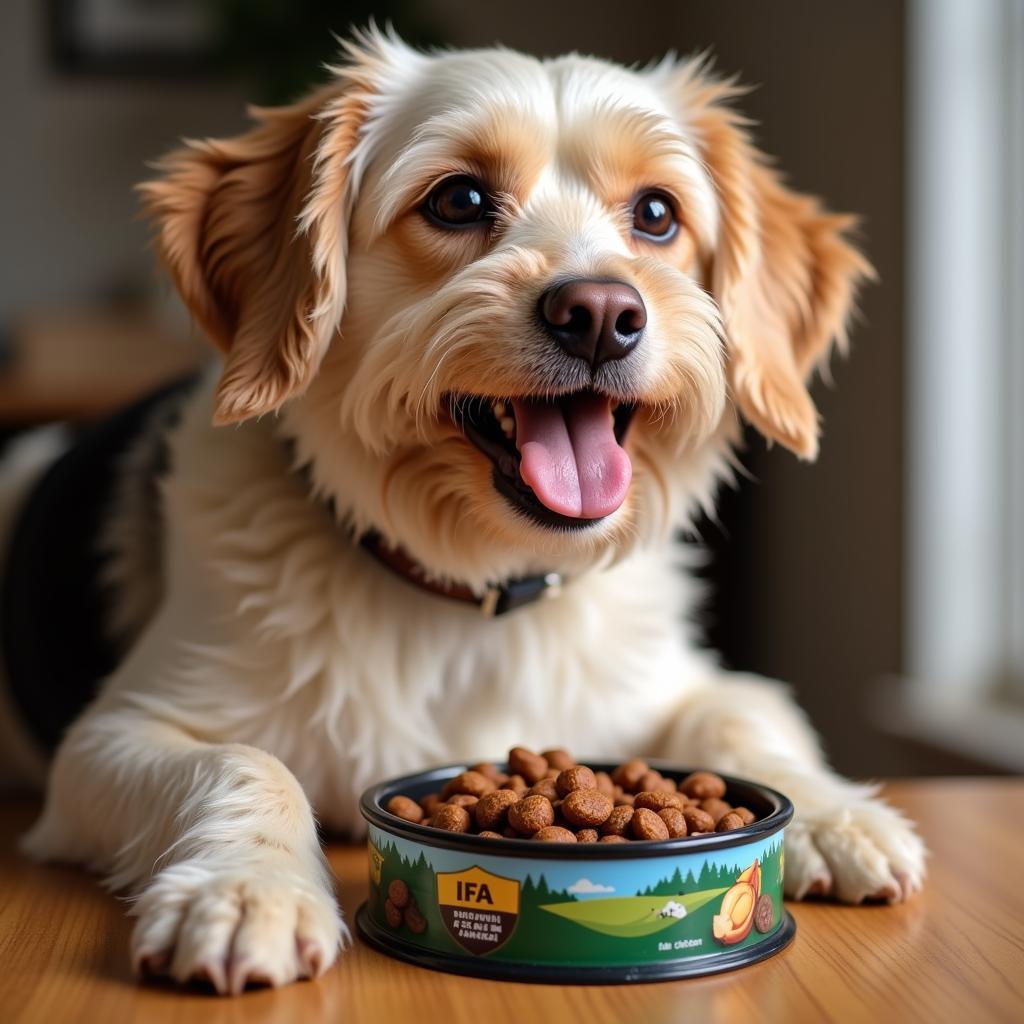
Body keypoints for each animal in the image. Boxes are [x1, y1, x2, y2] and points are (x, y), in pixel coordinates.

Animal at [0, 29, 925, 991]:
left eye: (657, 214)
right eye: (461, 199)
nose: (601, 312)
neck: (474, 588)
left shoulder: (678, 683)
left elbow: (741, 712)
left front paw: (832, 813)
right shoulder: (109, 738)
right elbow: (242, 762)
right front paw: (246, 891)